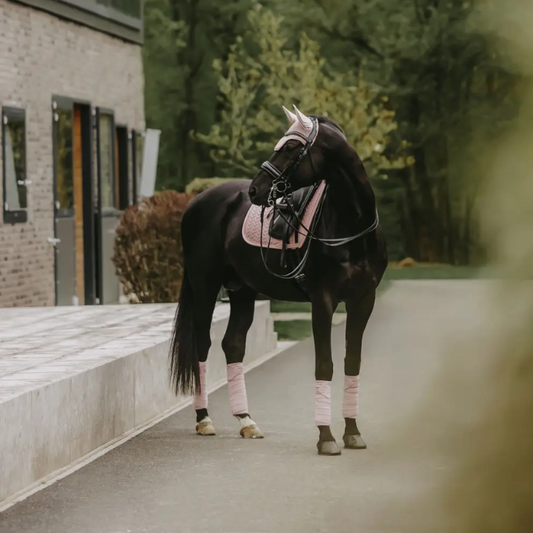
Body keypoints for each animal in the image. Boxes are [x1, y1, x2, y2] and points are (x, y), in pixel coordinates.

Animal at [170, 107, 386, 454]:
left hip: (242, 290)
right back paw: (204, 420)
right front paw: (326, 437)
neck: (352, 228)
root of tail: (196, 202)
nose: (255, 190)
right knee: (202, 345)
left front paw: (352, 432)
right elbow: (325, 364)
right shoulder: (323, 302)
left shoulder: (363, 300)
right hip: (205, 287)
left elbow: (352, 362)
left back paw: (246, 421)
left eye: (291, 147)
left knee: (233, 345)